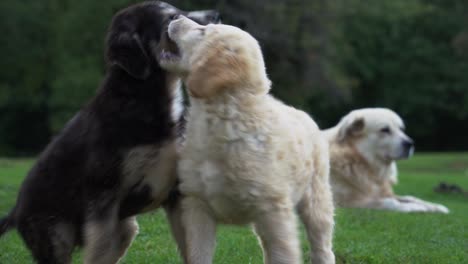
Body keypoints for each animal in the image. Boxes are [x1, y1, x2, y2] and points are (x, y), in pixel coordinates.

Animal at [0, 1, 219, 262]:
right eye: (171, 18)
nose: (215, 15)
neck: (147, 99)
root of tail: (14, 210)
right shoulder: (103, 192)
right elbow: (99, 247)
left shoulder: (176, 191)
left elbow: (193, 248)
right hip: (55, 234)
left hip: (123, 229)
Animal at [163, 16, 334, 264]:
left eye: (203, 30)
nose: (174, 17)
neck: (222, 118)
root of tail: (303, 114)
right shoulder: (197, 205)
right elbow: (199, 255)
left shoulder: (273, 210)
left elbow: (284, 255)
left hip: (316, 197)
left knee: (321, 245)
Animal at [322, 108, 450, 213]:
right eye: (385, 130)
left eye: (401, 129)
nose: (410, 143)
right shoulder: (347, 202)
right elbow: (391, 202)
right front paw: (415, 208)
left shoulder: (384, 193)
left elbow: (411, 197)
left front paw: (436, 207)